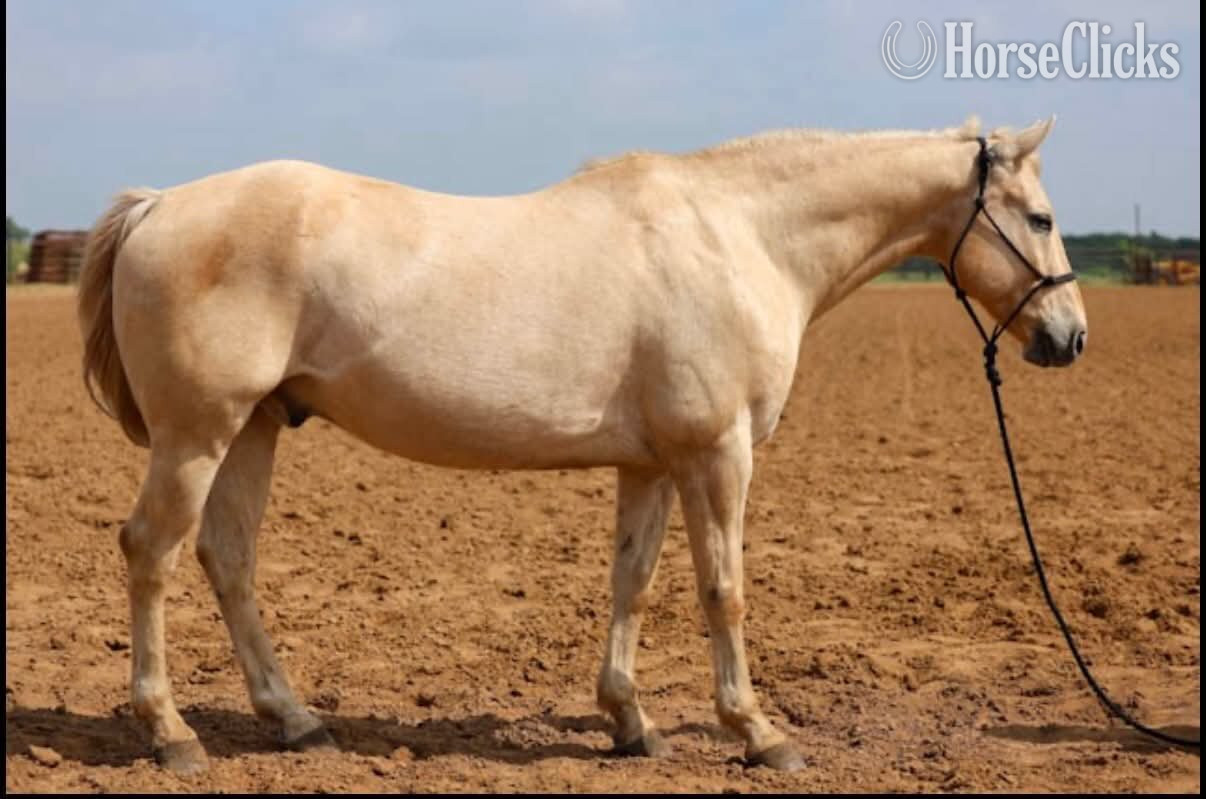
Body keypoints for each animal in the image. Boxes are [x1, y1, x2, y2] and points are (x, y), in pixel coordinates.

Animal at [78, 115, 1086, 775]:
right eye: (1039, 216)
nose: (1070, 337)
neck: (740, 238)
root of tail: (159, 205)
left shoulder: (651, 463)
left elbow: (631, 583)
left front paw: (631, 722)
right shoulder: (717, 454)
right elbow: (724, 589)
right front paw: (758, 732)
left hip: (250, 428)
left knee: (228, 558)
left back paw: (295, 719)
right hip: (198, 434)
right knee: (152, 552)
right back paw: (170, 731)